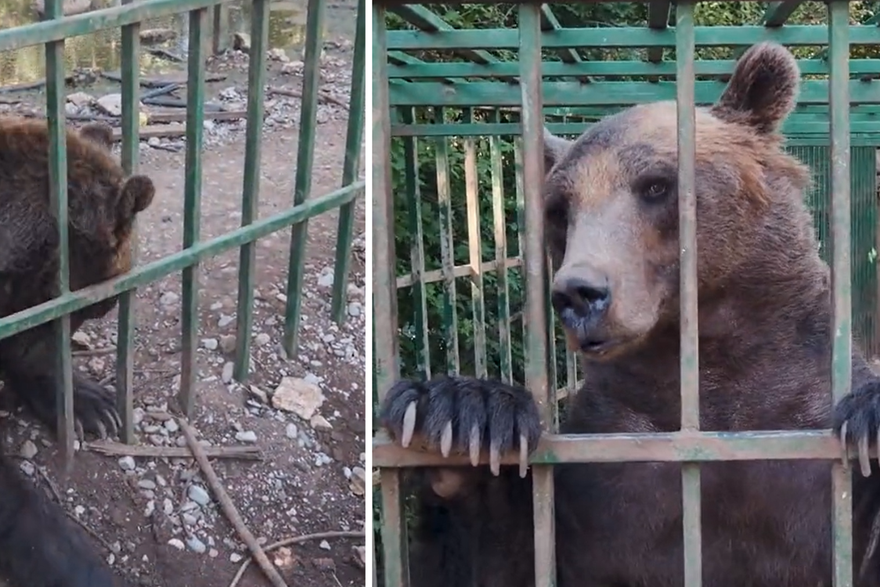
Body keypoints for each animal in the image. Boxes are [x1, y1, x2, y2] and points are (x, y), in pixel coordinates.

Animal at [384, 42, 880, 587]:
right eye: (560, 208)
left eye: (656, 185)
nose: (578, 294)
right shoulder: (609, 454)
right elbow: (502, 555)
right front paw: (461, 414)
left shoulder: (801, 428)